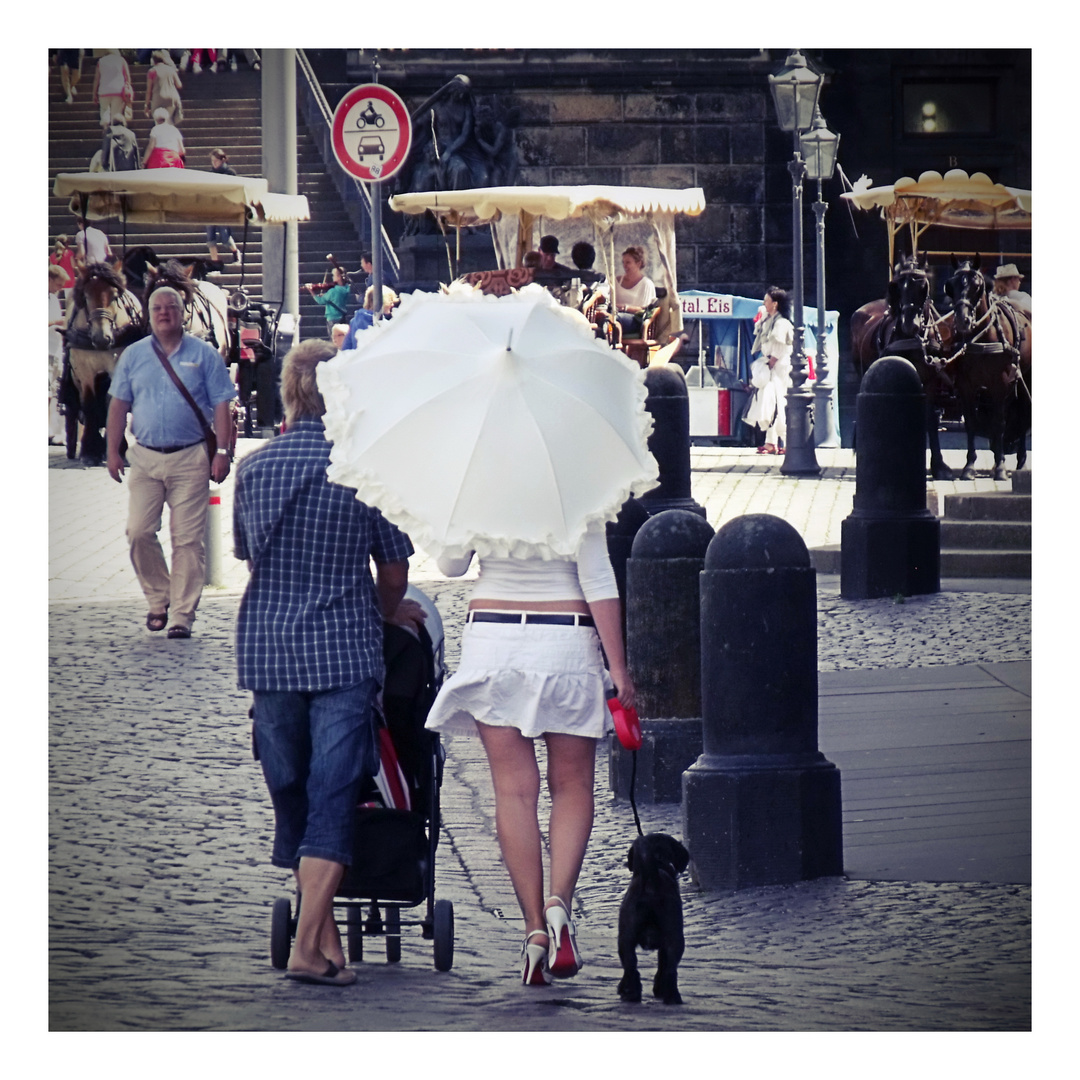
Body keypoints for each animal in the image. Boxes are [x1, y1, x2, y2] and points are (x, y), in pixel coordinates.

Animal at [61, 262, 143, 468]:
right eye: (86, 296)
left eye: (114, 296)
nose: (102, 338)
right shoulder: (84, 371)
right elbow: (90, 404)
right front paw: (90, 452)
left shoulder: (117, 367)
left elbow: (111, 402)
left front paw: (119, 450)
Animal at [617, 833, 691, 1002]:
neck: (658, 862)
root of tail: (651, 881)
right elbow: (662, 965)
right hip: (674, 938)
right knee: (669, 970)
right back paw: (670, 996)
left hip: (626, 939)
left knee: (631, 965)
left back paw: (631, 992)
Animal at [946, 254, 1028, 479]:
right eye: (951, 286)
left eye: (977, 286)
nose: (962, 320)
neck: (982, 337)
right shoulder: (965, 385)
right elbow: (971, 423)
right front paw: (969, 467)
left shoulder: (1000, 382)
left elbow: (999, 423)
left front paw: (1000, 468)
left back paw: (1020, 460)